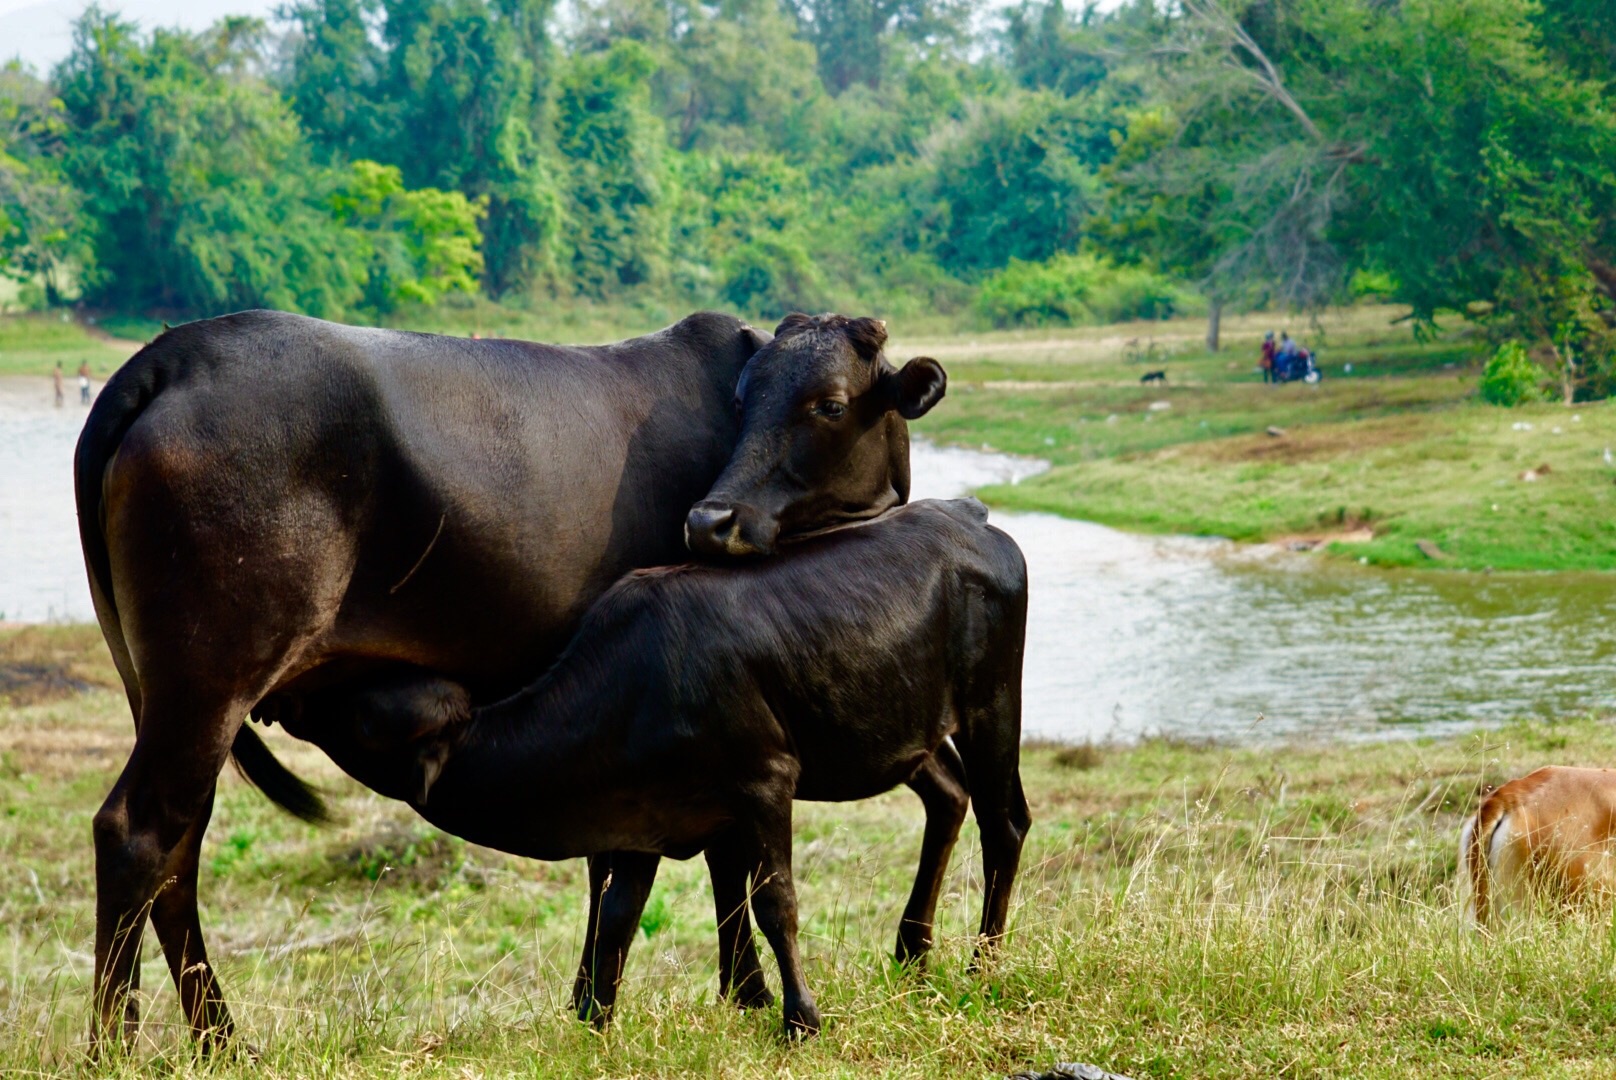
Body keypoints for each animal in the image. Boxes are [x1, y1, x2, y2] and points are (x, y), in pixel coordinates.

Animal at [78, 307, 943, 1047]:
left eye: (829, 404)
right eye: (743, 401)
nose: (709, 523)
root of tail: (178, 352)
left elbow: (670, 857)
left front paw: (707, 993)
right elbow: (676, 860)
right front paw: (725, 997)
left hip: (169, 697)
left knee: (179, 853)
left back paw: (218, 1040)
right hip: (209, 681)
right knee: (139, 835)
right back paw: (117, 1045)